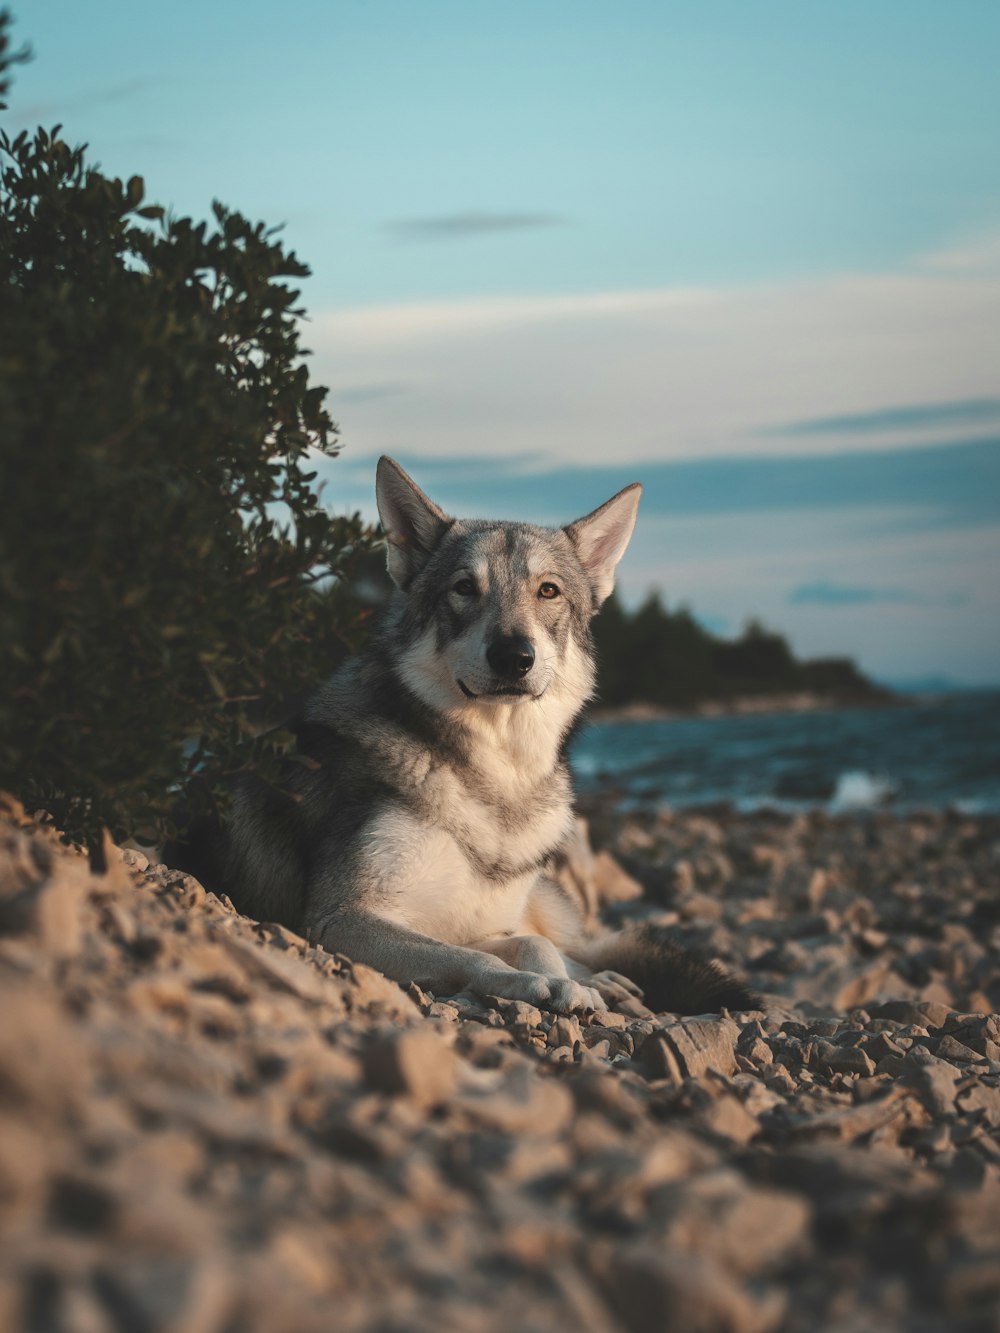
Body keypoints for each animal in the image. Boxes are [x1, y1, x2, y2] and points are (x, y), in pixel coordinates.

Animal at [172, 453, 757, 1013]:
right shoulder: (342, 920)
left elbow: (535, 946)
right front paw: (539, 986)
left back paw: (606, 981)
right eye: (464, 589)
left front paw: (569, 984)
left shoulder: (486, 925)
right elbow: (480, 958)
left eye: (548, 591)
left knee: (573, 946)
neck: (497, 781)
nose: (514, 656)